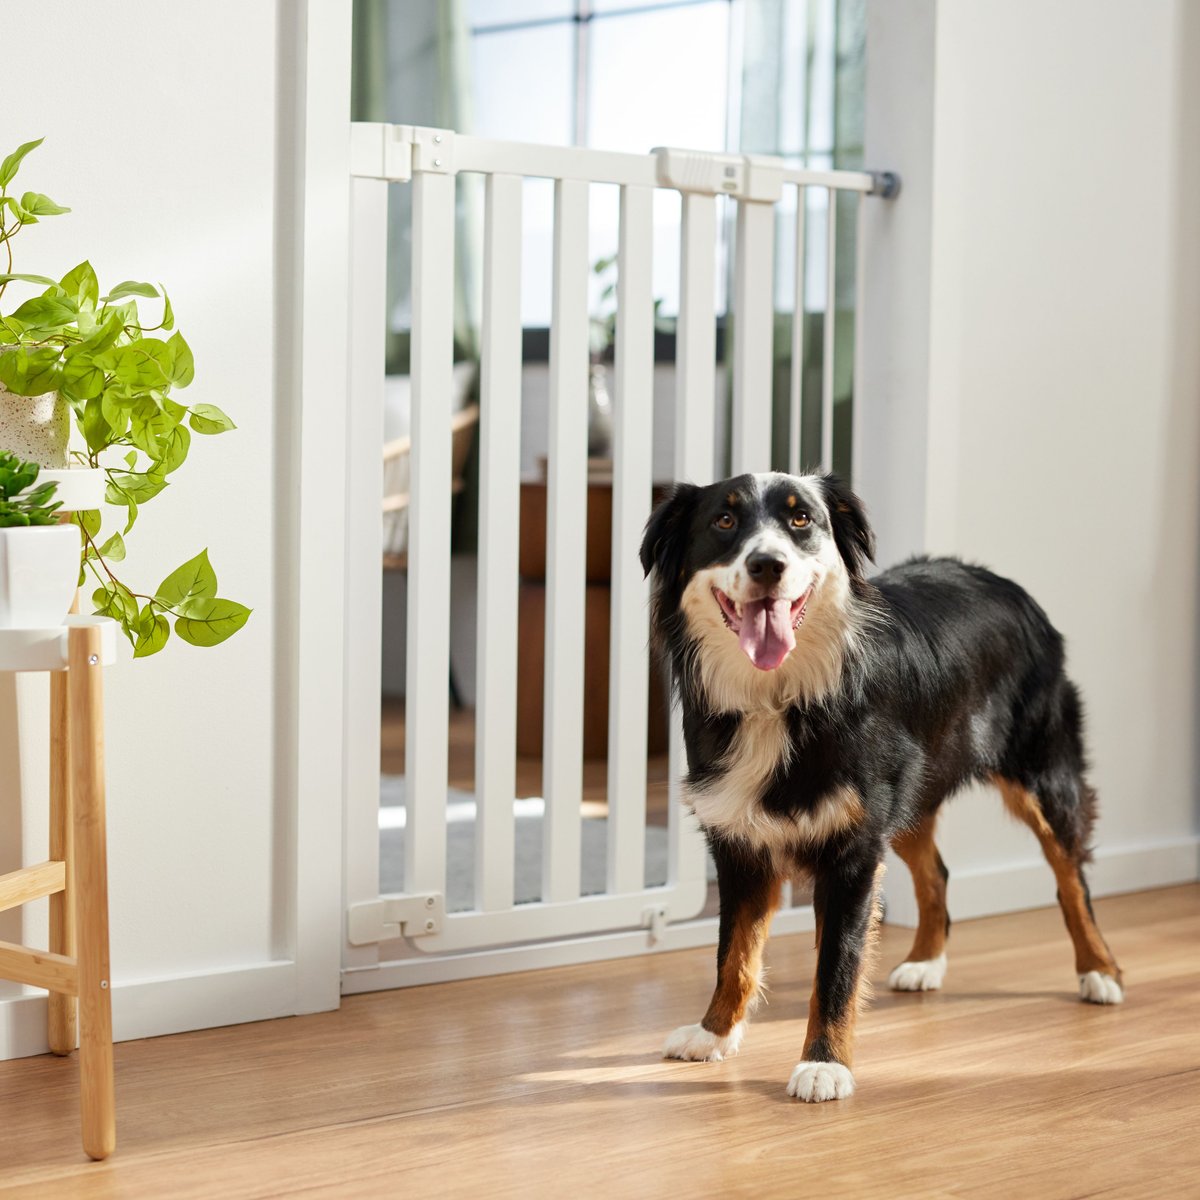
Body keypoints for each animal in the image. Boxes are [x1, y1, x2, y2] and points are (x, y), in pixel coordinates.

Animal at [643, 470, 1118, 1104]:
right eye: (724, 520)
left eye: (802, 520)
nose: (768, 564)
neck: (778, 697)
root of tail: (1000, 580)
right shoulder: (741, 842)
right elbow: (733, 954)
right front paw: (713, 1033)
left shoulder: (852, 849)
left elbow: (837, 968)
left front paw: (824, 1063)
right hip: (910, 796)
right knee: (936, 873)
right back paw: (926, 963)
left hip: (1042, 775)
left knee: (1072, 879)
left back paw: (1100, 971)